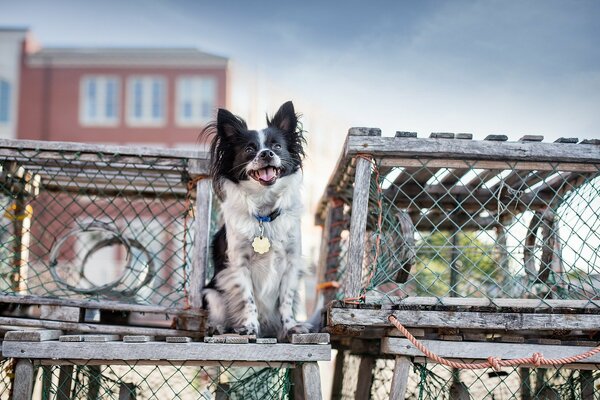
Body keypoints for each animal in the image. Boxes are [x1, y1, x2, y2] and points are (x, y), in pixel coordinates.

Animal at [203, 101, 312, 340]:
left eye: (277, 146)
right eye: (249, 149)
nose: (266, 153)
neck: (265, 213)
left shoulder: (291, 264)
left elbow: (286, 301)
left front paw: (290, 327)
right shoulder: (238, 266)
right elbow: (247, 300)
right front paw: (250, 327)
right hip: (212, 294)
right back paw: (217, 327)